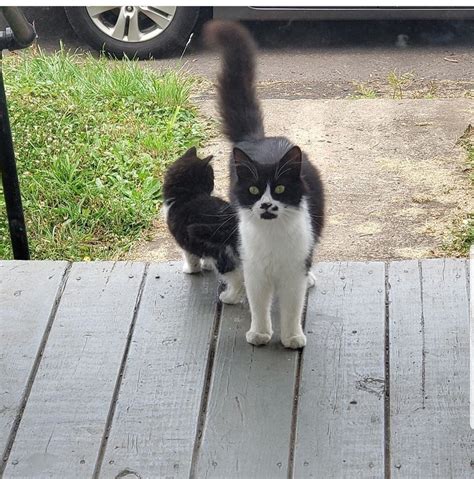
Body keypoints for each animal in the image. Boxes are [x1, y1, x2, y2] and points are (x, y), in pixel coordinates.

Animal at [163, 147, 244, 304]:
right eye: (211, 177)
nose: (213, 184)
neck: (188, 196)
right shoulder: (200, 244)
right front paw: (207, 266)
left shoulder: (186, 241)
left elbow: (192, 258)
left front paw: (191, 270)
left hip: (223, 254)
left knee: (237, 279)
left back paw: (229, 298)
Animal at [206, 19, 324, 348]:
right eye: (254, 190)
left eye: (280, 189)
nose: (267, 205)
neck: (273, 238)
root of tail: (260, 140)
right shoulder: (256, 270)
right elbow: (259, 304)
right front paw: (259, 333)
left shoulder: (293, 272)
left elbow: (292, 307)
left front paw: (292, 336)